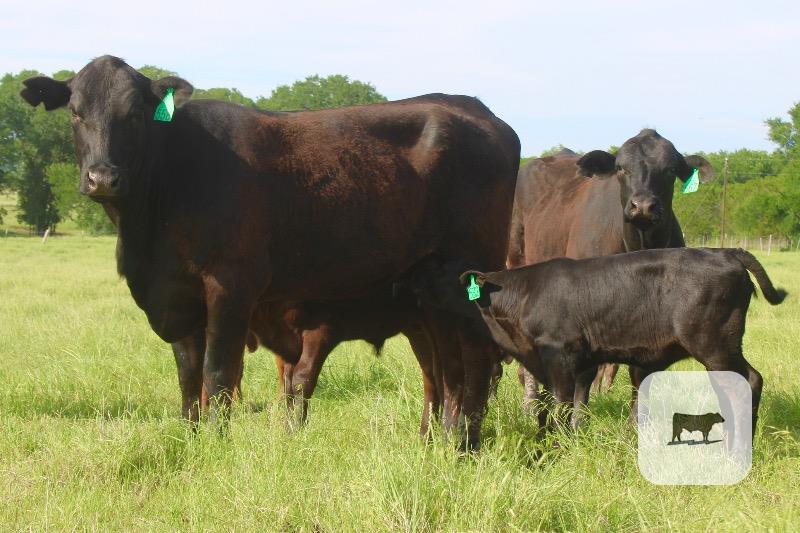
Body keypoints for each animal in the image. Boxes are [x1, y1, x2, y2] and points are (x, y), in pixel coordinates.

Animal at [21, 55, 520, 450]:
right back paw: (444, 440)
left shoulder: (231, 284)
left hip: (465, 273)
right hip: (428, 292)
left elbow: (219, 373)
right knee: (448, 367)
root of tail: (474, 108)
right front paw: (190, 439)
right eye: (75, 113)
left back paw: (465, 445)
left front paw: (216, 446)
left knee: (476, 357)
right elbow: (188, 377)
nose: (102, 177)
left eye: (134, 115)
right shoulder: (176, 295)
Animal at [460, 247, 785, 443]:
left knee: (749, 381)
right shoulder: (582, 361)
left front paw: (558, 442)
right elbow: (578, 404)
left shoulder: (560, 355)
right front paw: (576, 438)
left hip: (714, 345)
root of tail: (726, 251)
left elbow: (562, 404)